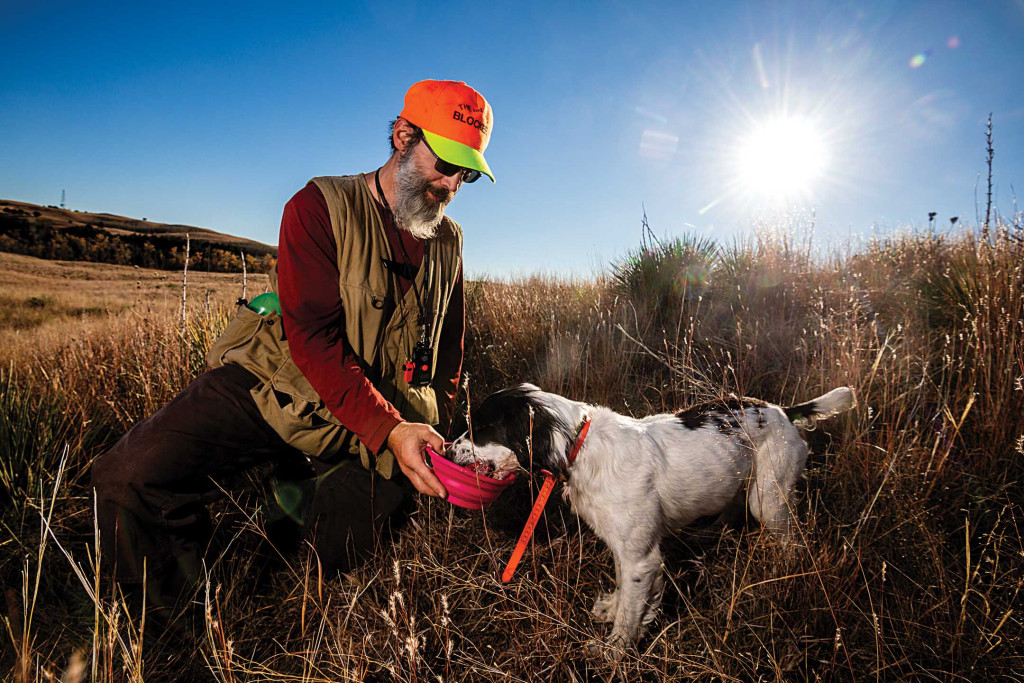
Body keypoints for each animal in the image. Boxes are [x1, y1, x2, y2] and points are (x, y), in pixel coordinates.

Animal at [448, 385, 856, 655]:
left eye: (480, 428)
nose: (449, 450)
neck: (580, 446)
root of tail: (782, 411)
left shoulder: (641, 557)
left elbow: (631, 613)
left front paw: (613, 652)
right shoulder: (624, 547)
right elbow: (625, 595)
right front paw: (612, 610)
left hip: (768, 500)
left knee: (793, 543)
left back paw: (782, 576)